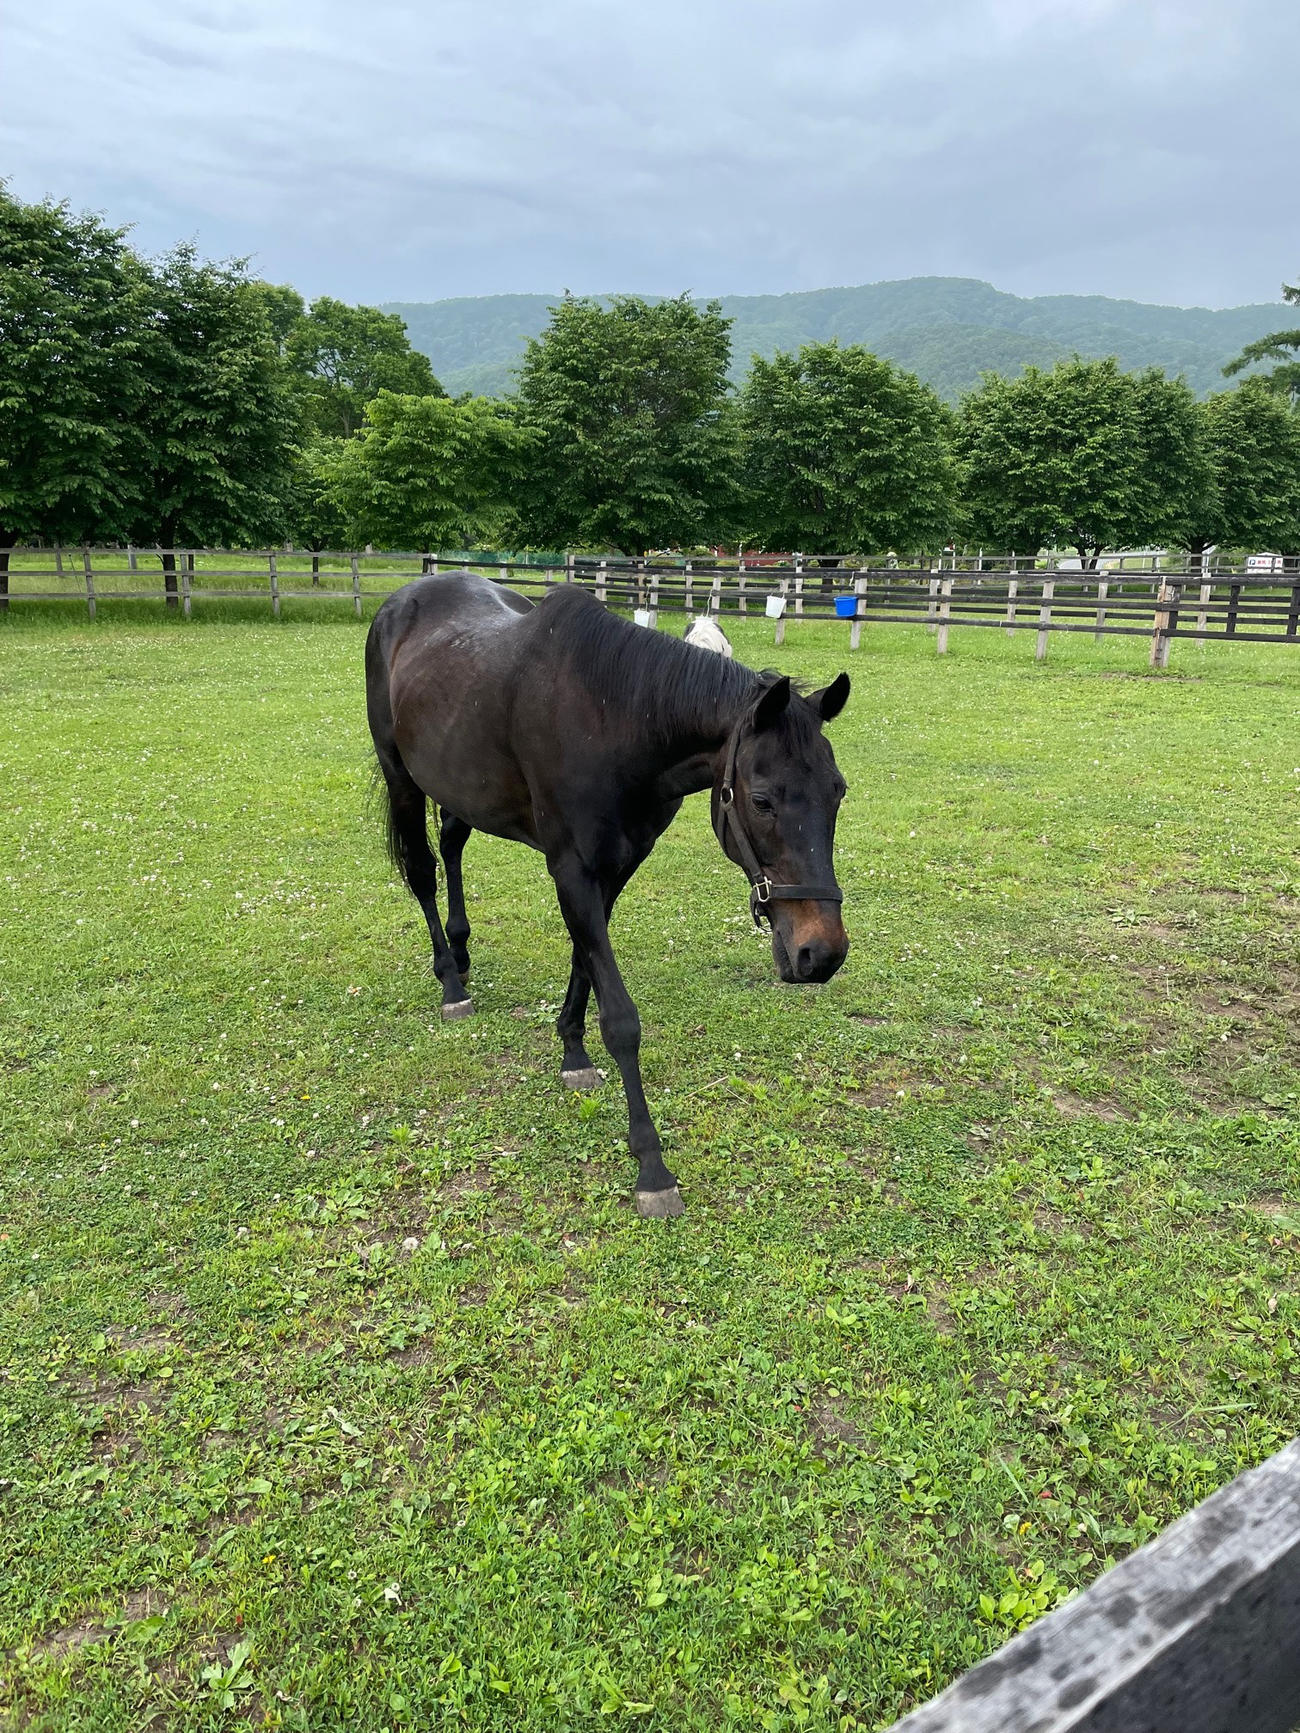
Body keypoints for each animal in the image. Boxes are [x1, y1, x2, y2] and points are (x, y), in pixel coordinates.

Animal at [365, 571, 851, 1218]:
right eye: (762, 799)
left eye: (837, 791)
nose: (821, 953)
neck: (615, 721)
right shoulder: (572, 869)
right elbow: (619, 1015)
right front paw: (651, 1164)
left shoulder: (615, 868)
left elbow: (583, 962)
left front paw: (572, 1049)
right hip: (401, 775)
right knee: (422, 871)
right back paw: (450, 980)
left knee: (451, 845)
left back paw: (463, 954)